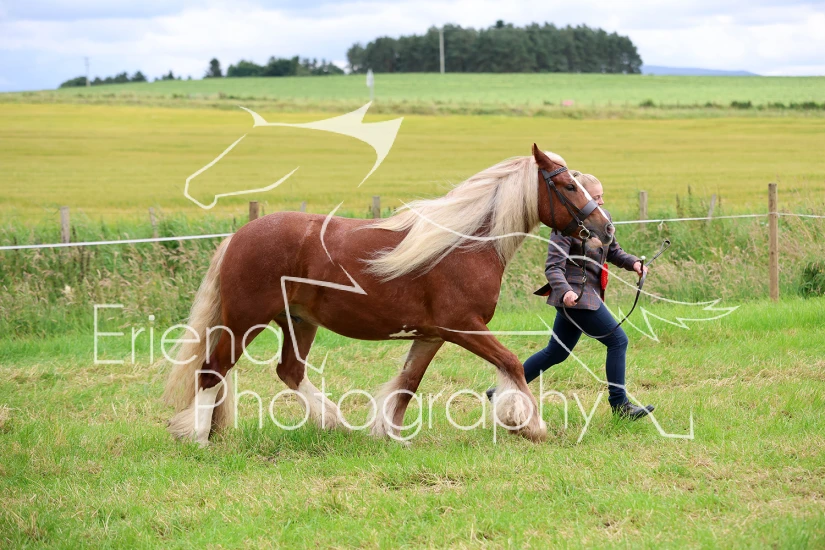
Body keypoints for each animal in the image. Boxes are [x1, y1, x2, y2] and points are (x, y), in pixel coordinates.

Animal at [163, 144, 615, 445]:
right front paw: (528, 424)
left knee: (288, 370)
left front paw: (390, 433)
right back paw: (199, 438)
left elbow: (409, 382)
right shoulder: (463, 327)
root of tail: (237, 237)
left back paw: (334, 422)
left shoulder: (432, 335)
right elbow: (511, 364)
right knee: (212, 370)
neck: (465, 245)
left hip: (298, 322)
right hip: (245, 320)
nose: (605, 229)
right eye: (568, 185)